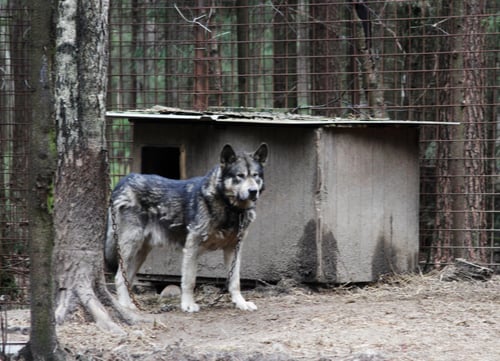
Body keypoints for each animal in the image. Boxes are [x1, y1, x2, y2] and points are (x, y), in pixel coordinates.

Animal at [105, 142, 268, 310]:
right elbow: (189, 280)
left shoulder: (234, 249)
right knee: (119, 277)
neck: (230, 207)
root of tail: (122, 182)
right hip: (131, 246)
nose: (253, 191)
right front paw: (188, 305)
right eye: (239, 176)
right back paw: (125, 306)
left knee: (128, 279)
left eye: (255, 175)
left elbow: (235, 281)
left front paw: (241, 303)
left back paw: (130, 305)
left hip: (141, 252)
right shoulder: (192, 247)